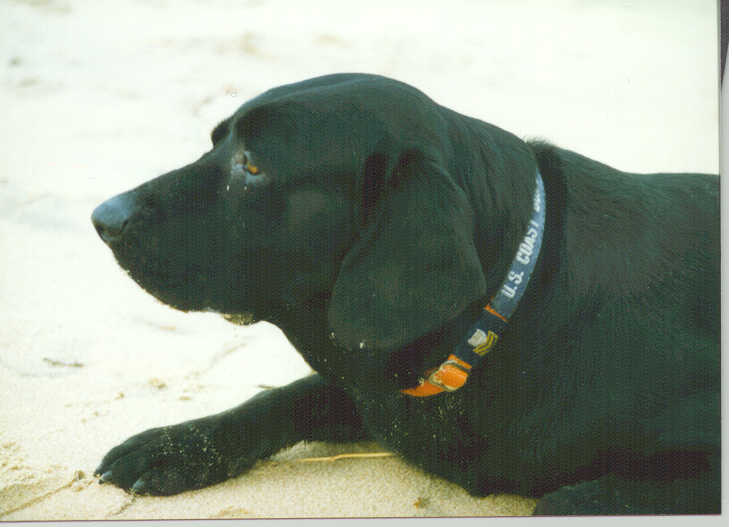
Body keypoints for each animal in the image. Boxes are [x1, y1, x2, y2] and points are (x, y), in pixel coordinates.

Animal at [88, 74, 716, 516]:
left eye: (254, 166)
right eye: (215, 144)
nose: (102, 217)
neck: (501, 317)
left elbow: (565, 501)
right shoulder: (372, 381)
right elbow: (281, 397)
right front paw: (177, 446)